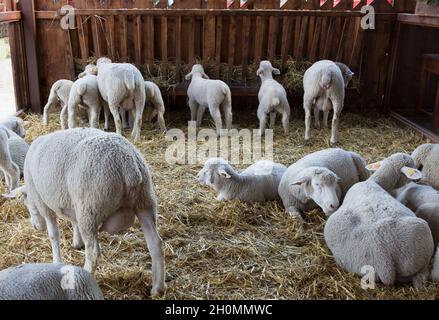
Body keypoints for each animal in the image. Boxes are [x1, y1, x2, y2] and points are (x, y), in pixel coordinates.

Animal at [3, 128, 167, 298]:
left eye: (26, 203)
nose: (36, 227)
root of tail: (128, 165)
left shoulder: (43, 204)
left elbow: (53, 235)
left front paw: (56, 260)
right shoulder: (73, 202)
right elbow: (74, 222)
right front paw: (77, 242)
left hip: (90, 208)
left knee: (93, 252)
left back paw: (85, 273)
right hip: (144, 201)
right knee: (156, 243)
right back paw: (158, 288)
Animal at [324, 152, 434, 288]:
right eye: (411, 165)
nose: (417, 179)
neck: (374, 181)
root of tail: (384, 260)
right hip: (423, 234)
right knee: (421, 274)